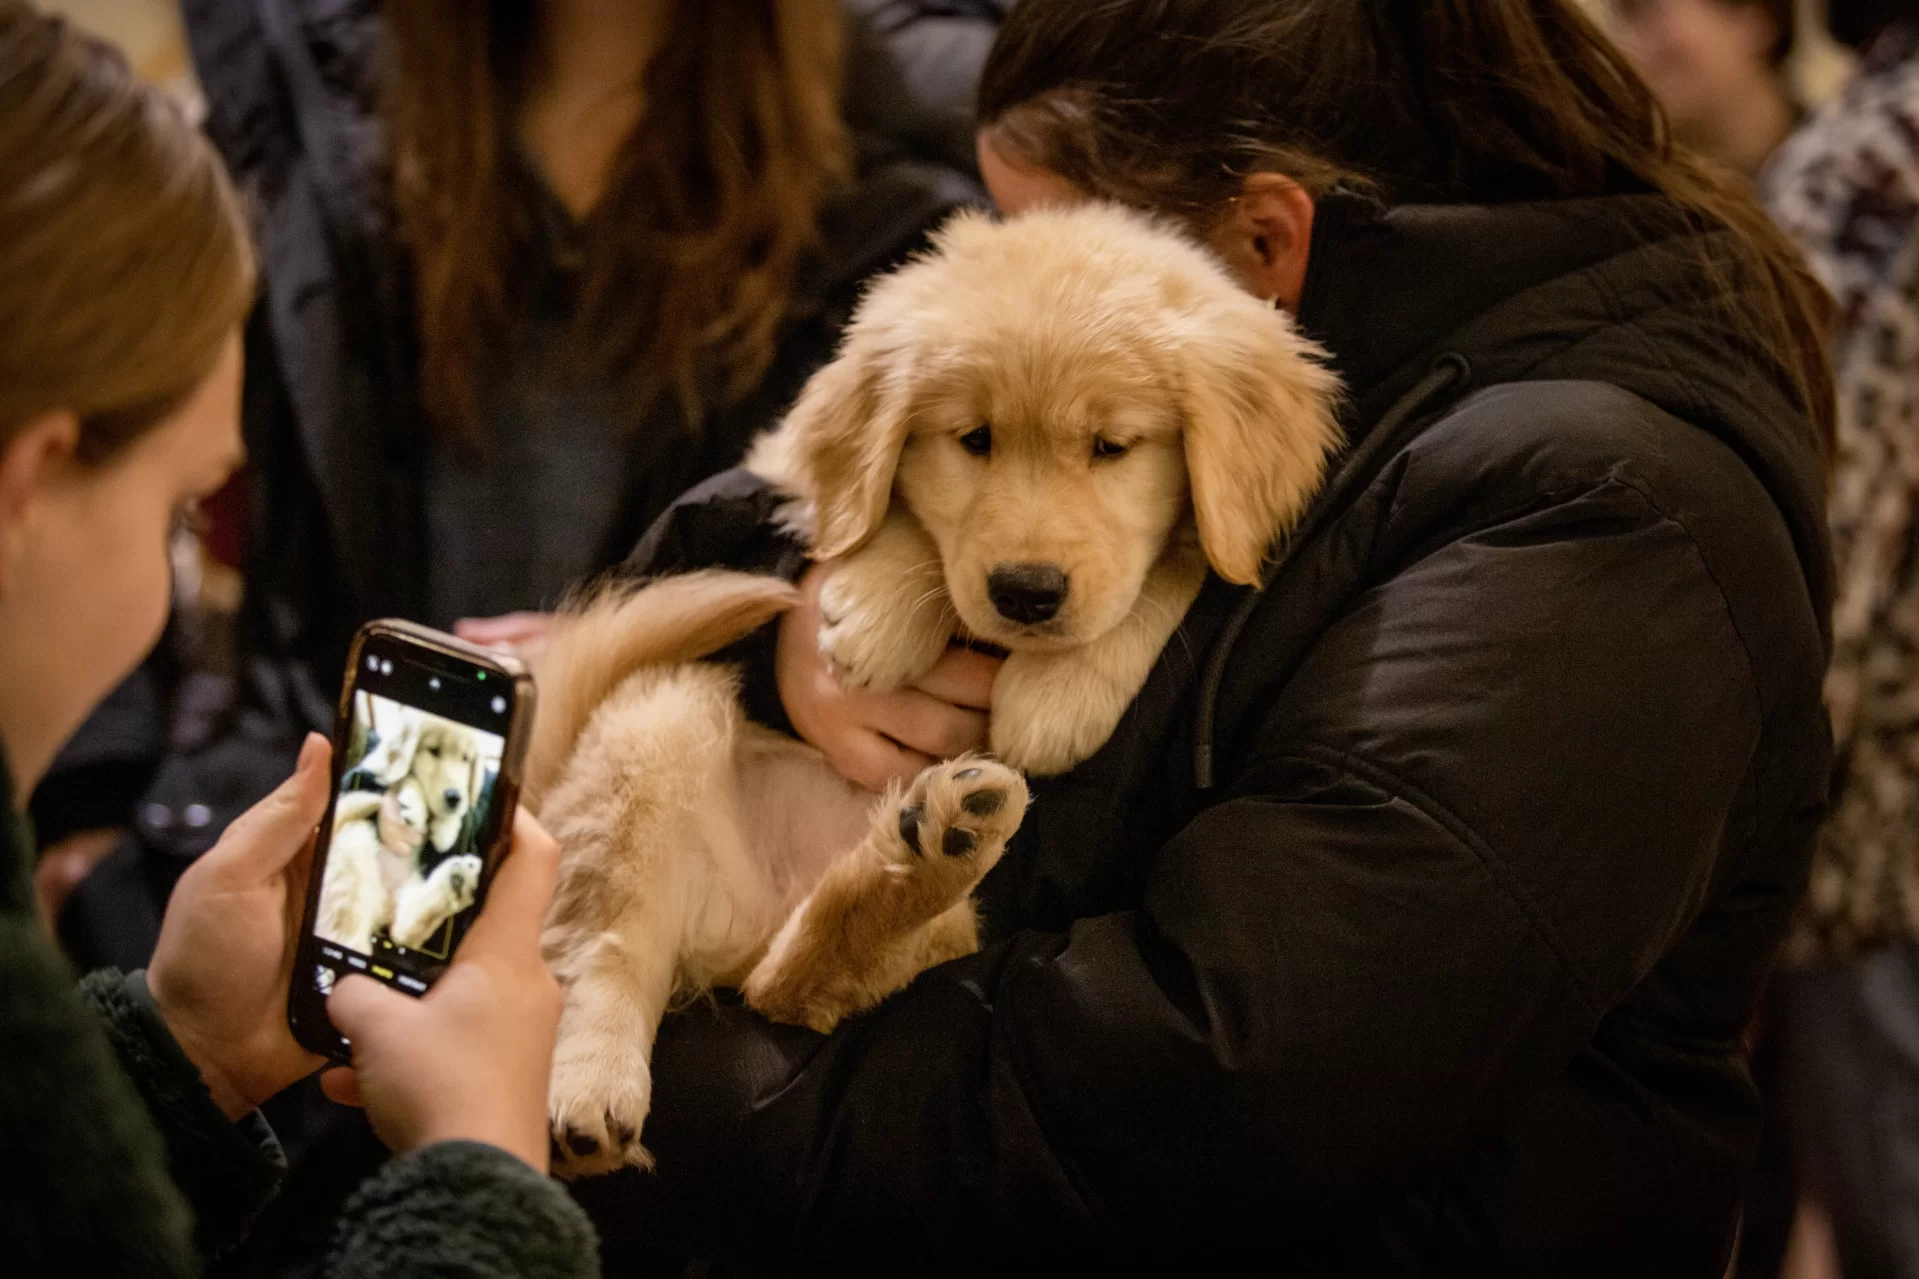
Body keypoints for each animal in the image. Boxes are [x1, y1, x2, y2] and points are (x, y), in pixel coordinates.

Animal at [525, 201, 1335, 1175]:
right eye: (973, 440)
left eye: (1112, 447)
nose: (1025, 592)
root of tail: (739, 923)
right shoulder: (784, 457)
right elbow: (878, 510)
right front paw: (874, 606)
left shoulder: (1212, 538)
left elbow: (1179, 566)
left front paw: (1060, 687)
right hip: (654, 728)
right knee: (608, 950)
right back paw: (592, 1088)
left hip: (940, 929)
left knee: (791, 986)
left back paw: (927, 850)